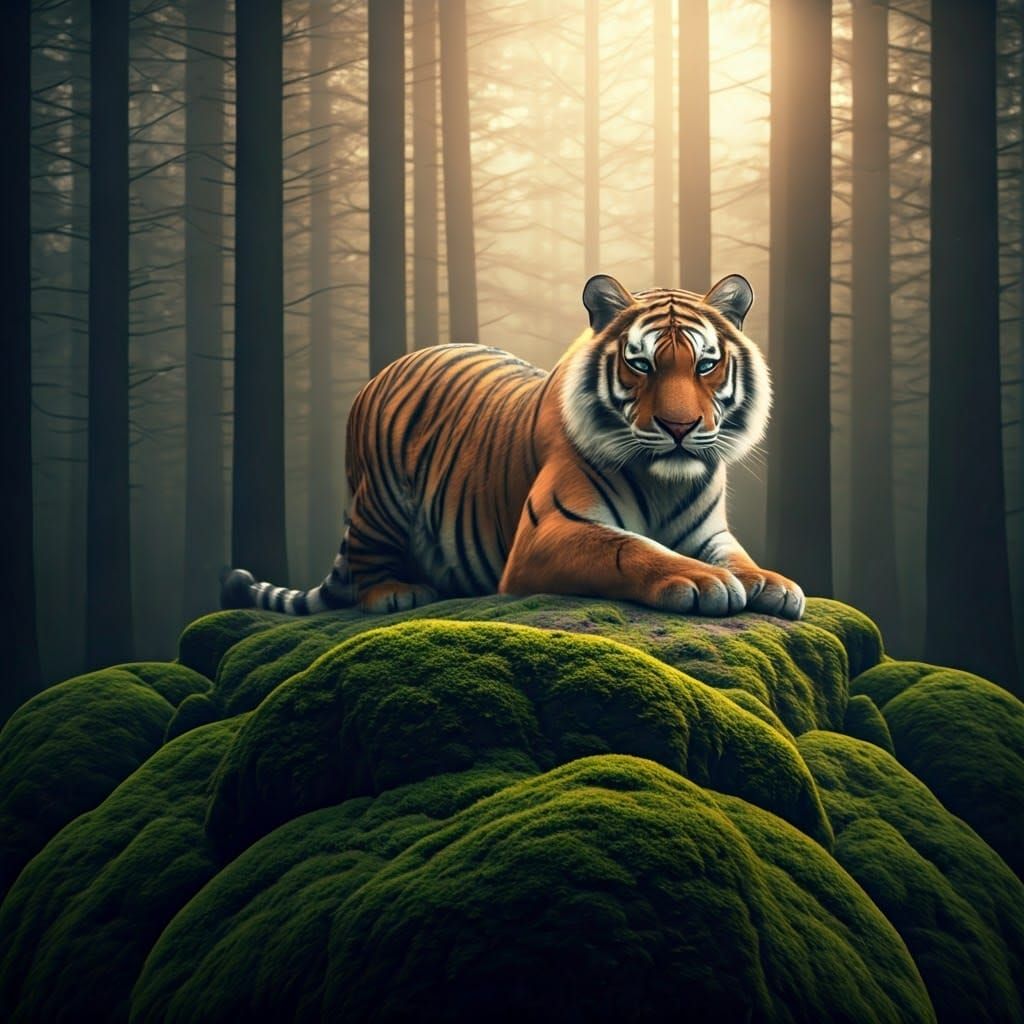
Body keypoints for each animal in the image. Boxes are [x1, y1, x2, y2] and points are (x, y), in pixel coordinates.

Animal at [221, 274, 805, 619]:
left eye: (706, 364)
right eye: (640, 363)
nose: (680, 427)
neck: (666, 481)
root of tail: (388, 366)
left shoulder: (709, 533)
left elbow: (740, 558)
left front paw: (772, 583)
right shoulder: (548, 532)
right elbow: (630, 548)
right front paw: (702, 579)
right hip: (379, 499)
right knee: (367, 561)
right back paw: (396, 592)